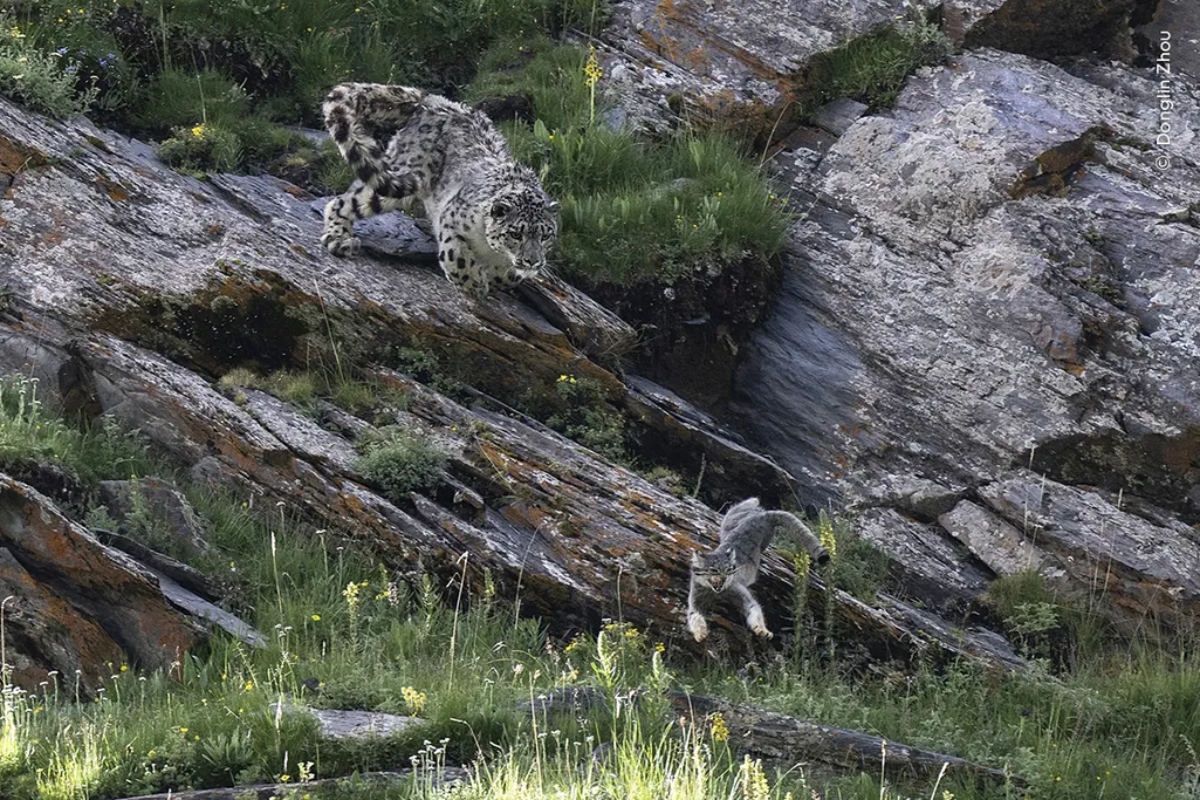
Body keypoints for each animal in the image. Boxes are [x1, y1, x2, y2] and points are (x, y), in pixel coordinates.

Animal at [321, 82, 559, 298]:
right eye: (516, 234)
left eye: (546, 235)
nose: (532, 261)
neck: (492, 253)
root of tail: (438, 101)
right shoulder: (453, 219)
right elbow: (457, 255)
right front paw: (474, 284)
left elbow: (510, 277)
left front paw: (493, 280)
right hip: (402, 179)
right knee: (343, 201)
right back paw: (339, 240)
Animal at [691, 496, 830, 642]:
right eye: (713, 570)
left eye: (729, 569)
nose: (724, 578)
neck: (717, 593)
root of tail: (763, 515)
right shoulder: (694, 601)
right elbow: (695, 618)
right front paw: (700, 633)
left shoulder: (742, 594)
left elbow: (755, 611)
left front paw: (763, 631)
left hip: (734, 522)